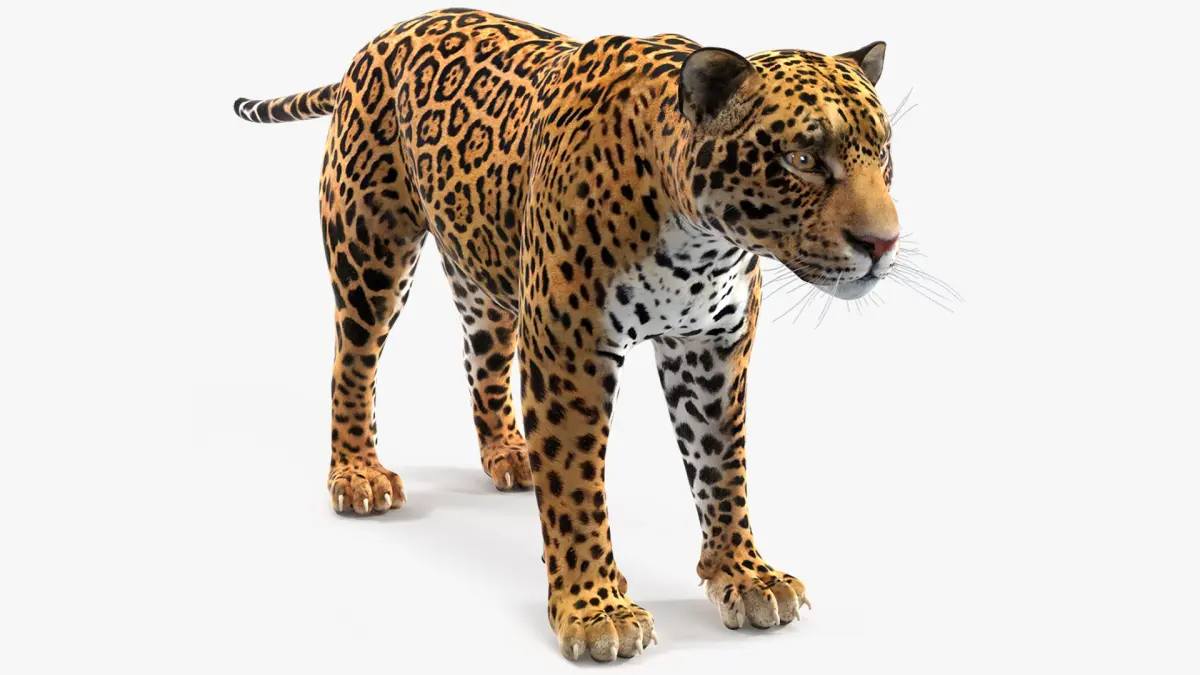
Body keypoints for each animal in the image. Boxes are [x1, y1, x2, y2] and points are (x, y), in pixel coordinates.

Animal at [233, 7, 900, 661]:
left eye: (884, 154)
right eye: (803, 161)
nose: (883, 244)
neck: (702, 244)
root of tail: (379, 39)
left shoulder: (712, 350)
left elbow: (722, 467)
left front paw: (745, 574)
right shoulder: (571, 352)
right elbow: (577, 486)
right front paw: (596, 611)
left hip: (485, 269)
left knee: (482, 358)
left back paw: (509, 452)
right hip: (369, 249)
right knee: (352, 363)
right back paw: (357, 474)